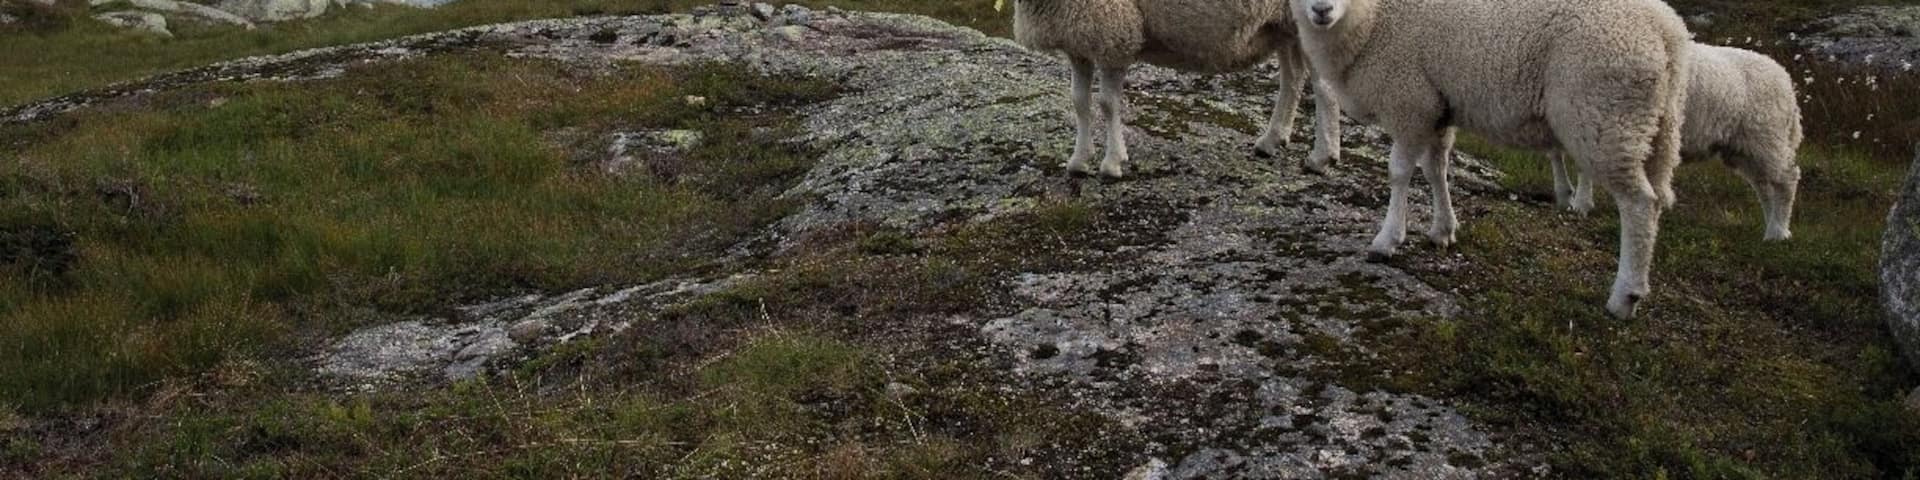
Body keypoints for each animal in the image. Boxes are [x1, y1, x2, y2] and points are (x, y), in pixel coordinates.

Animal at [1011, 0, 1343, 178]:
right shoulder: (1078, 40)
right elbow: (1079, 102)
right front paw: (1079, 160)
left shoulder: (1115, 33)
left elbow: (1107, 103)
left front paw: (1112, 162)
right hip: (1283, 25)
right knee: (1293, 75)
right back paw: (1272, 139)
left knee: (1324, 85)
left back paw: (1321, 157)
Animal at [1290, 0, 1692, 318]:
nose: (1321, 10)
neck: (1373, 16)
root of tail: (1667, 29)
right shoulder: (1438, 106)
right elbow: (1435, 169)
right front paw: (1443, 230)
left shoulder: (1410, 102)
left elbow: (1400, 172)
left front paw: (1387, 239)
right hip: (1656, 126)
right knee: (1656, 200)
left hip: (1605, 116)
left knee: (1638, 204)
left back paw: (1624, 296)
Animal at [1549, 44, 1803, 242]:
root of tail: (1786, 80)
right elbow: (1555, 155)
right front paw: (1567, 197)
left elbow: (1582, 167)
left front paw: (1580, 204)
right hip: (1743, 149)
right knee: (1765, 187)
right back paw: (1773, 228)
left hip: (1767, 138)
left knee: (1787, 180)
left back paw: (1778, 233)